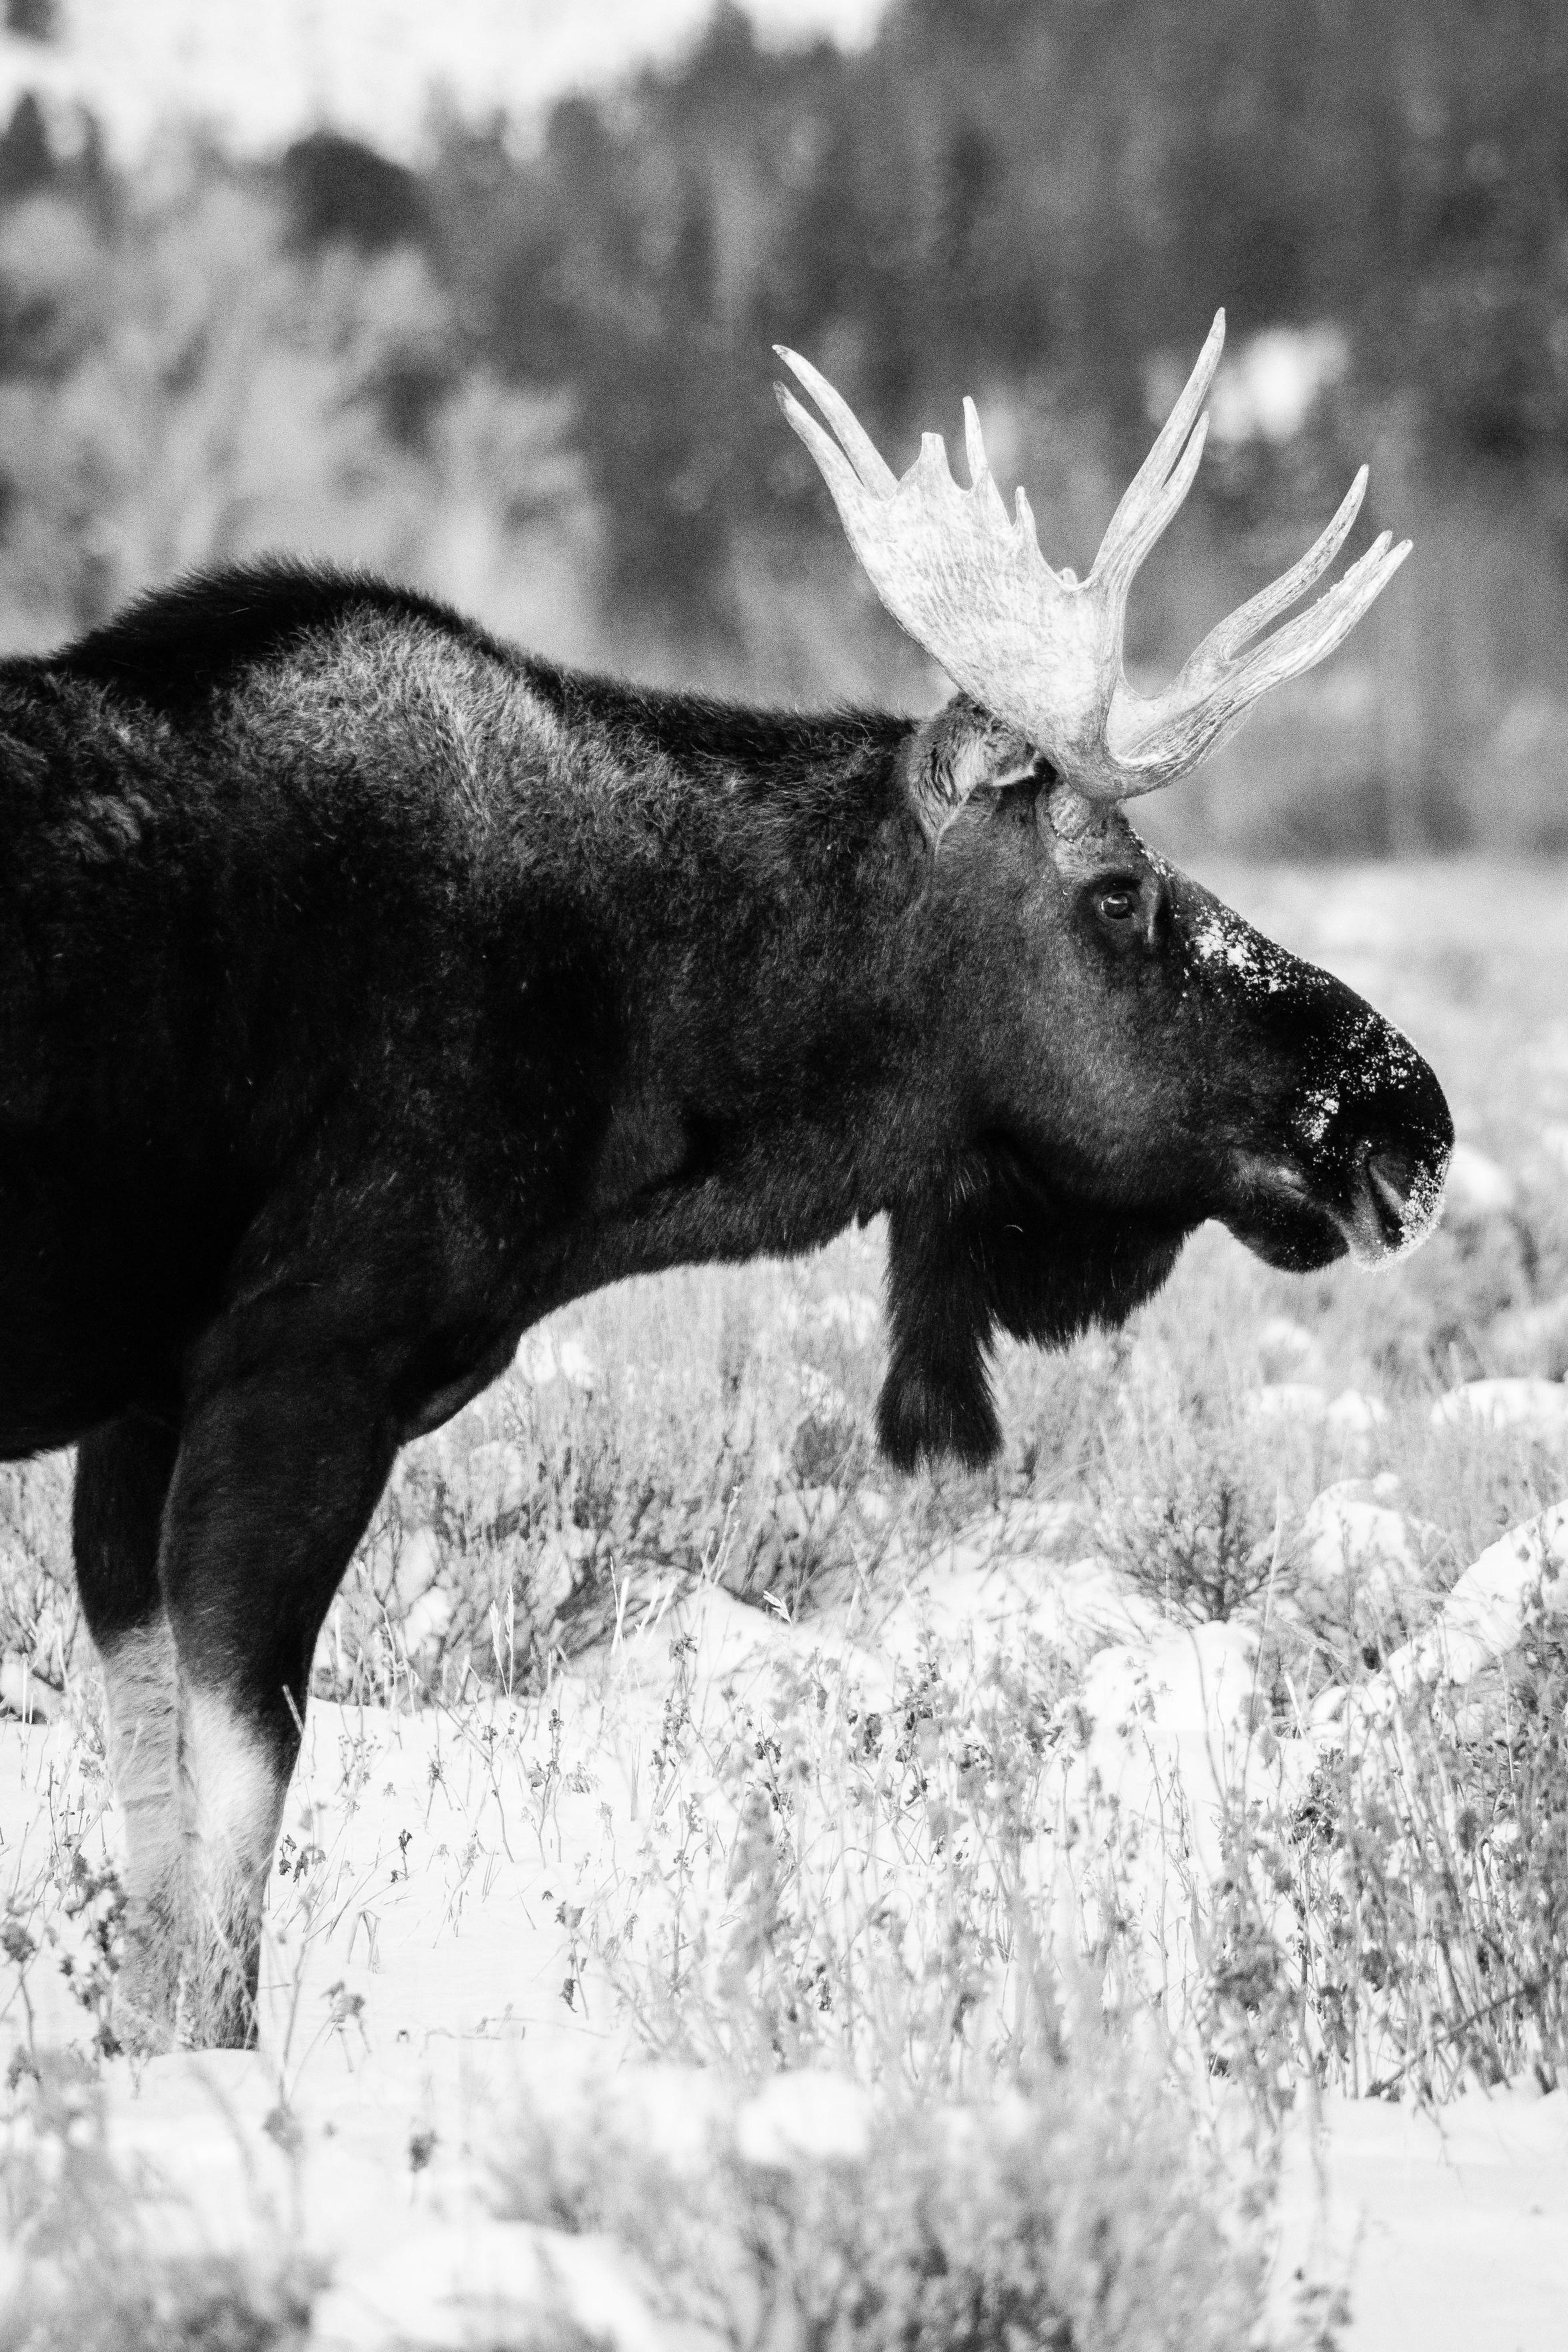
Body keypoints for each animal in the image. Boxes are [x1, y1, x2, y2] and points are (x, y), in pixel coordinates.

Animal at [0, 310, 1449, 2047]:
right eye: (1114, 891)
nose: (1402, 1110)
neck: (632, 1075)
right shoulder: (305, 1363)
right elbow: (225, 1888)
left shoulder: (142, 1401)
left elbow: (156, 1872)